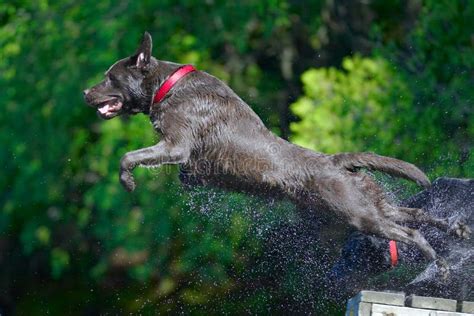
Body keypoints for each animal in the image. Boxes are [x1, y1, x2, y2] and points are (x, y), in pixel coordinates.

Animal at [83, 31, 468, 274]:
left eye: (109, 77)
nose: (86, 92)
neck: (168, 86)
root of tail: (336, 161)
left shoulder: (175, 145)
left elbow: (129, 156)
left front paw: (128, 182)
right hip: (371, 202)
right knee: (416, 214)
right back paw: (457, 230)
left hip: (358, 214)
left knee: (411, 232)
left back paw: (440, 264)